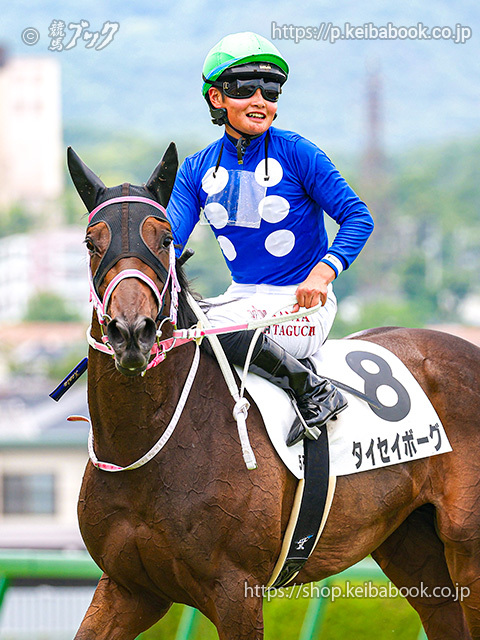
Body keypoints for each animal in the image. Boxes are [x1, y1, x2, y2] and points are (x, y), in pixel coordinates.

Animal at [68, 143, 480, 640]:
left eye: (164, 239)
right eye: (92, 242)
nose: (132, 332)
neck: (147, 444)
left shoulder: (236, 590)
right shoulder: (130, 588)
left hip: (468, 549)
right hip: (412, 545)